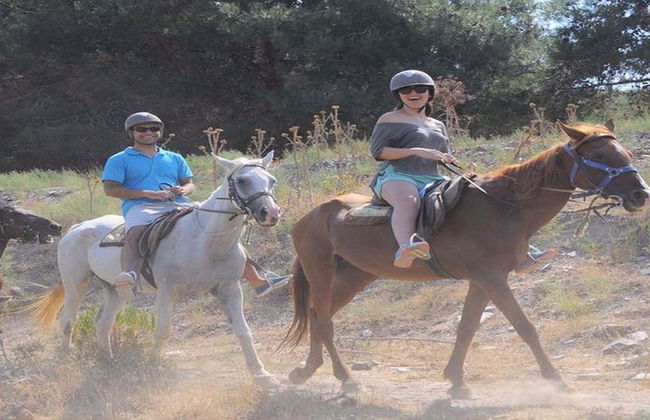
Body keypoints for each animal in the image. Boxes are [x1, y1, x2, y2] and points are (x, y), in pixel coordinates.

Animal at [33, 152, 281, 387]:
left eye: (272, 180)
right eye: (241, 180)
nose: (270, 213)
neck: (205, 240)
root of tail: (77, 227)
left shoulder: (229, 289)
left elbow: (243, 331)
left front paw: (261, 374)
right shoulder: (167, 291)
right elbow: (162, 331)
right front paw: (152, 369)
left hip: (115, 291)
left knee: (103, 324)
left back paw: (108, 364)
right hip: (76, 284)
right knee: (67, 322)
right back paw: (67, 362)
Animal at [280, 121, 650, 397]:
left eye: (628, 153)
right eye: (599, 153)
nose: (640, 194)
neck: (503, 208)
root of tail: (308, 217)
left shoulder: (483, 281)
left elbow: (466, 328)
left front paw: (455, 379)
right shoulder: (492, 279)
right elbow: (526, 327)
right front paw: (556, 379)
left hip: (354, 277)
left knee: (317, 315)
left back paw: (305, 371)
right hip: (321, 272)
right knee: (323, 321)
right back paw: (345, 377)